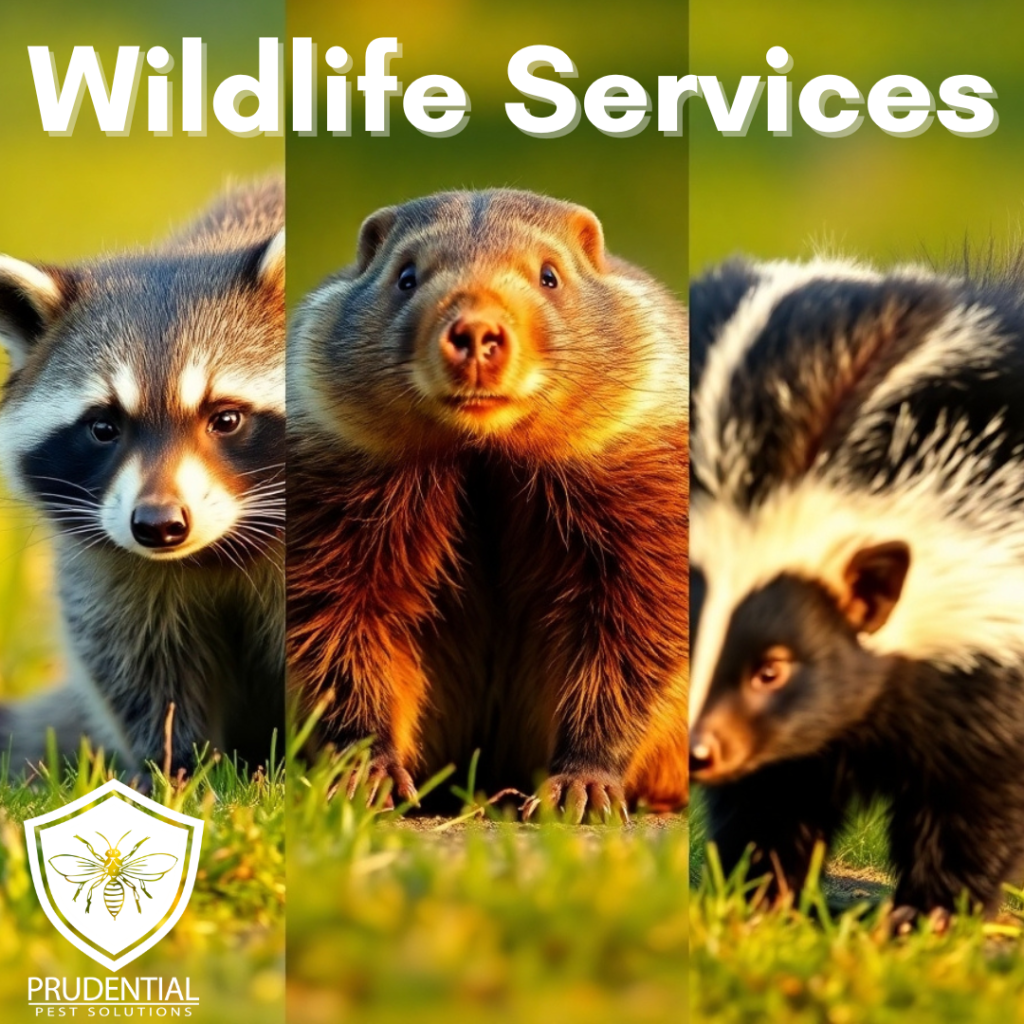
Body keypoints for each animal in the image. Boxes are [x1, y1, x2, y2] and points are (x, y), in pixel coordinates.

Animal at [0, 179, 285, 775]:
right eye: (104, 427)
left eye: (225, 419)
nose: (158, 524)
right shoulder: (108, 566)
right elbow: (137, 661)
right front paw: (177, 764)